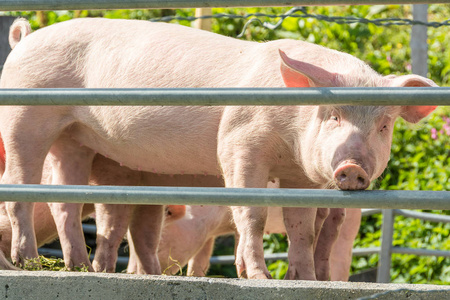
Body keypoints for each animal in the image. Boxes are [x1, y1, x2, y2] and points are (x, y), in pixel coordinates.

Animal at [0, 17, 436, 280]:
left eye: (384, 125)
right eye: (332, 116)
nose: (352, 167)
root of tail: (25, 40)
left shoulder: (298, 175)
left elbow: (302, 228)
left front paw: (305, 280)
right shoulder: (238, 142)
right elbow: (251, 213)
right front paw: (259, 278)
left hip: (73, 138)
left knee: (65, 201)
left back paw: (79, 269)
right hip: (25, 113)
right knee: (20, 185)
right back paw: (26, 262)